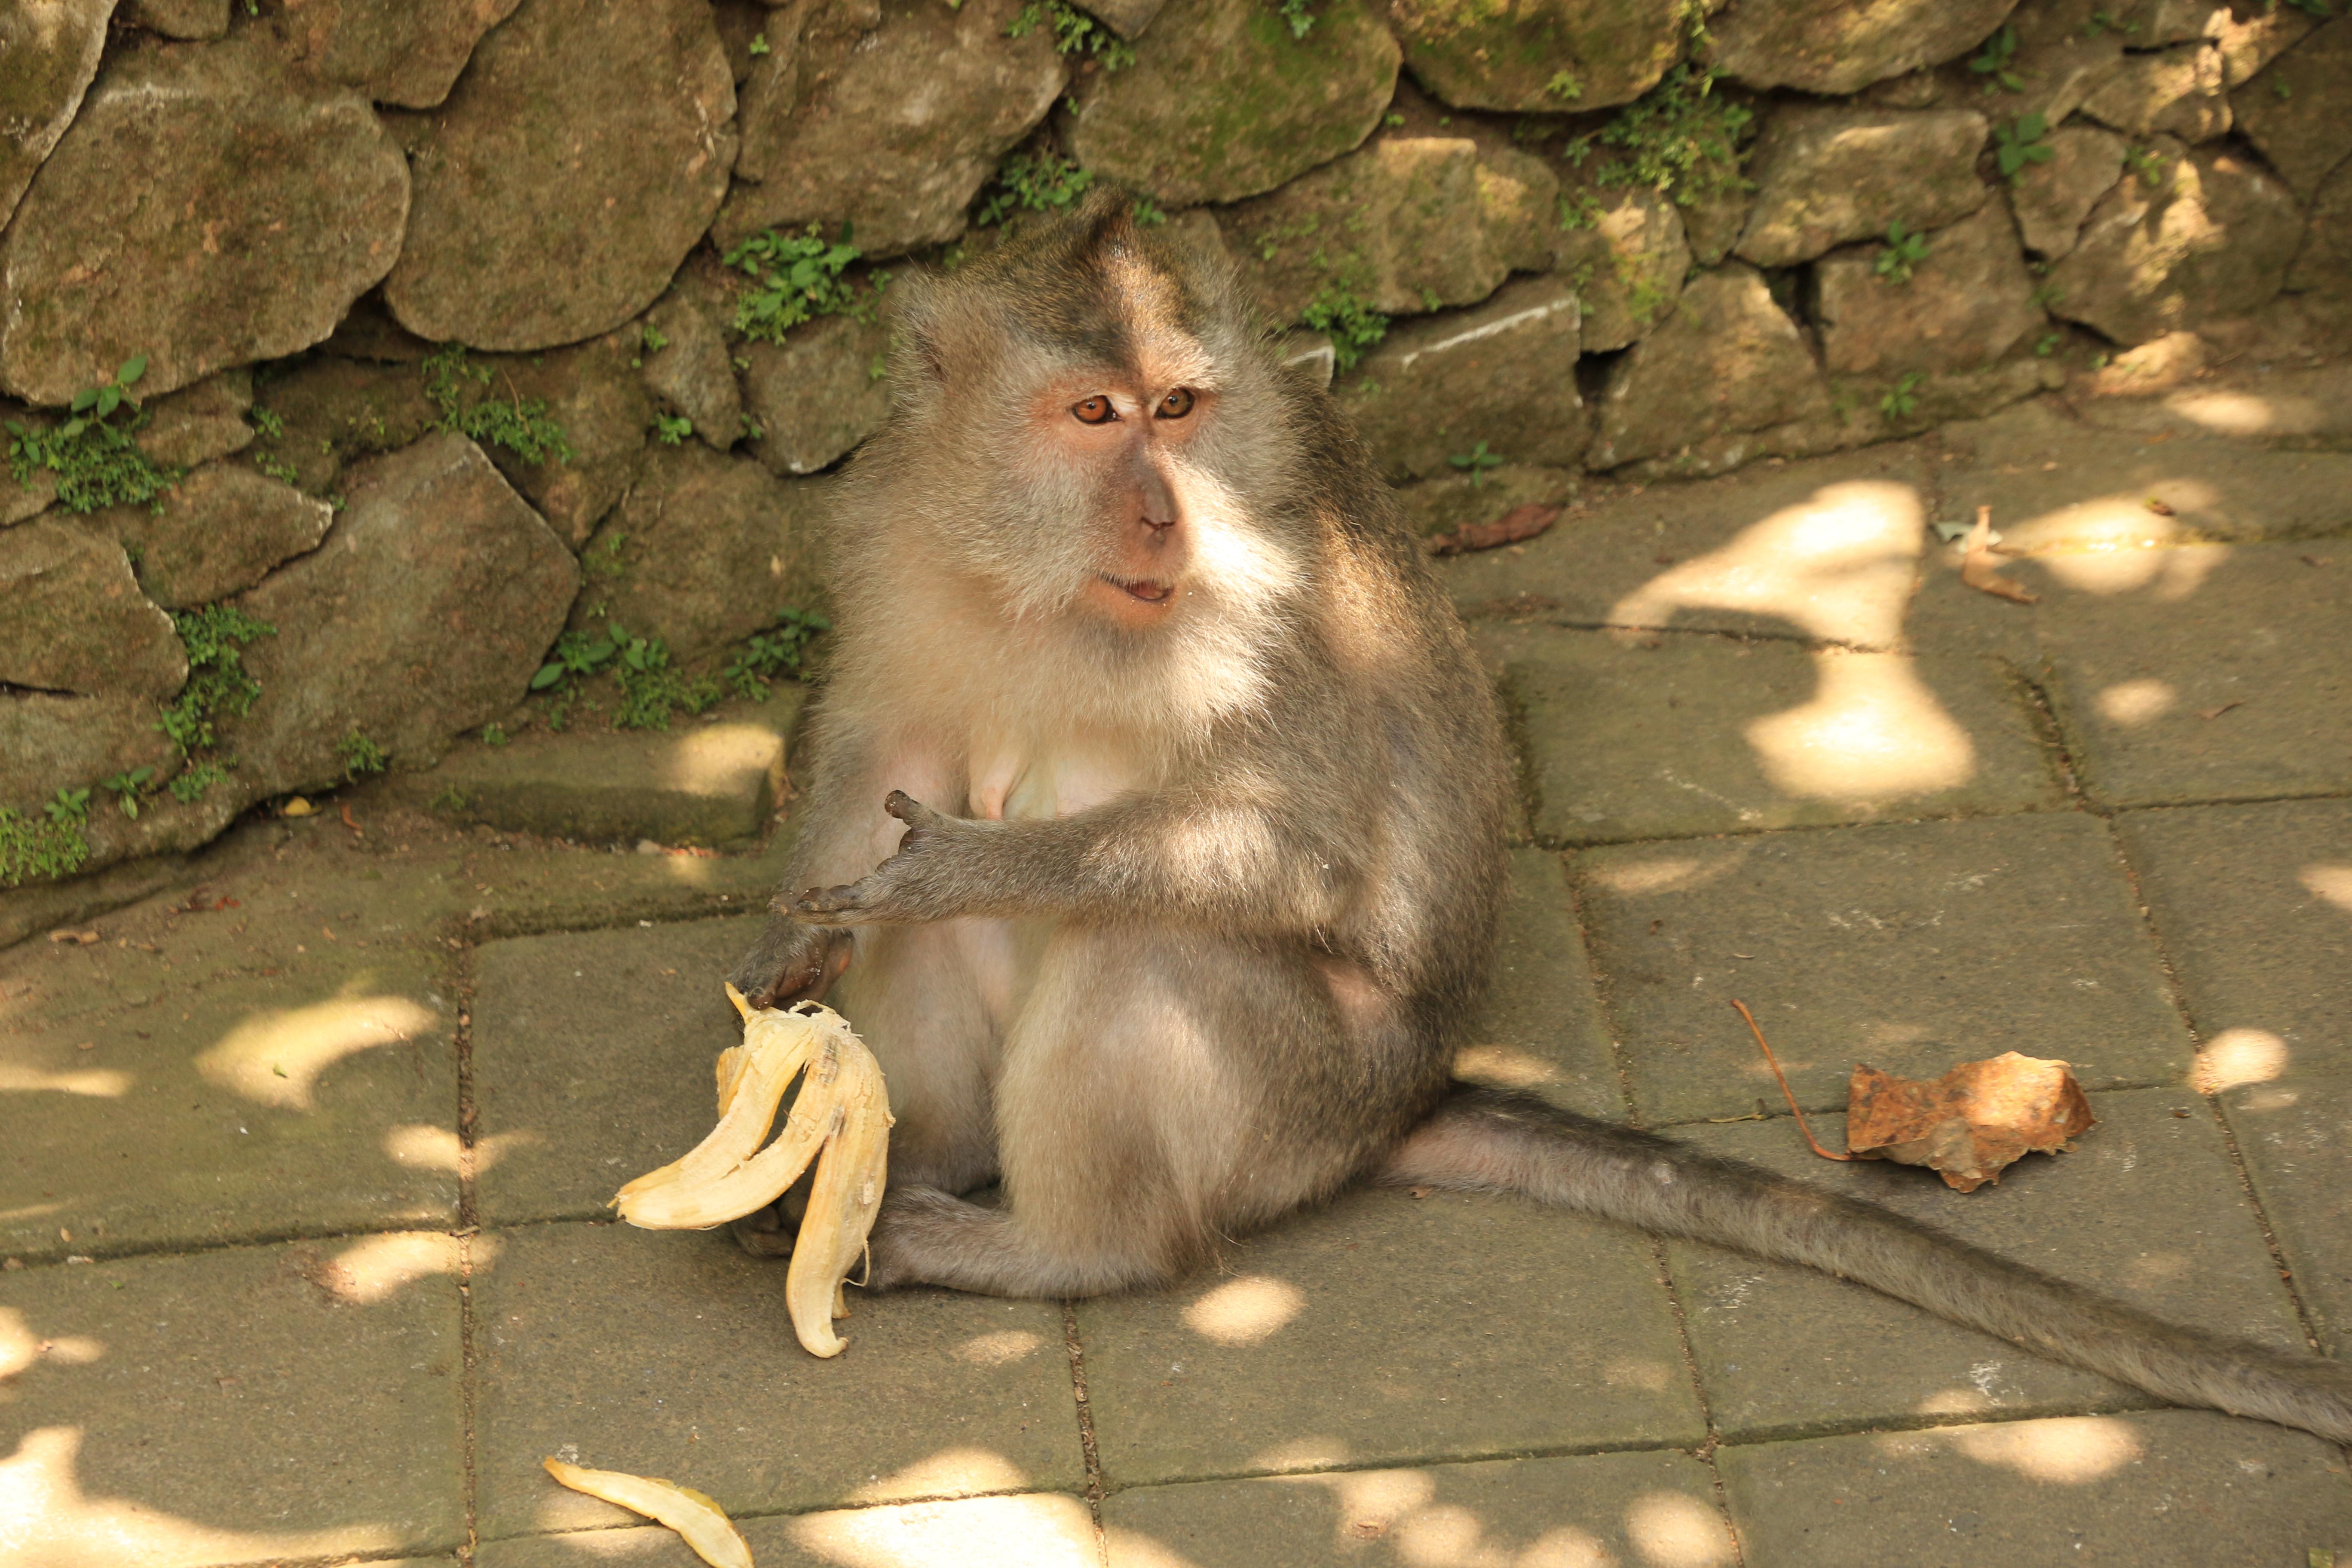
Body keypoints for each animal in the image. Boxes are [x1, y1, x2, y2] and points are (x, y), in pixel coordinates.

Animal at [725, 189, 2352, 1446]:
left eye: (1178, 410)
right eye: (1092, 414)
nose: (1163, 514)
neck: (1056, 593)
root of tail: (1405, 1103)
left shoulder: (1270, 609)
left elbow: (1296, 847)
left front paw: (961, 860)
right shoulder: (898, 546)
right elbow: (885, 760)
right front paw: (786, 945)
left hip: (1303, 1095)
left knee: (1146, 949)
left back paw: (1065, 1248)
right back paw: (894, 1167)